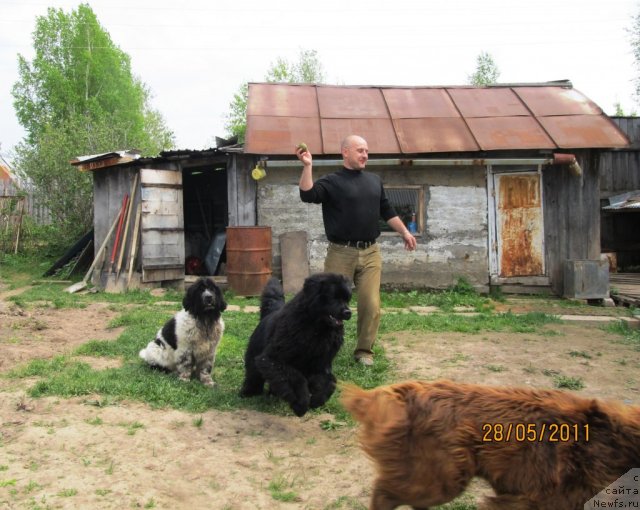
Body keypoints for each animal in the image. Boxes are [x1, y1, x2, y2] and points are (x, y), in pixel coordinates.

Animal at [240, 272, 352, 416]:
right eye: (334, 297)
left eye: (347, 299)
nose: (348, 312)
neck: (316, 328)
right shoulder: (273, 359)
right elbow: (296, 378)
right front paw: (301, 403)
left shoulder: (320, 364)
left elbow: (330, 381)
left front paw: (317, 400)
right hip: (255, 356)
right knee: (253, 374)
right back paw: (248, 392)